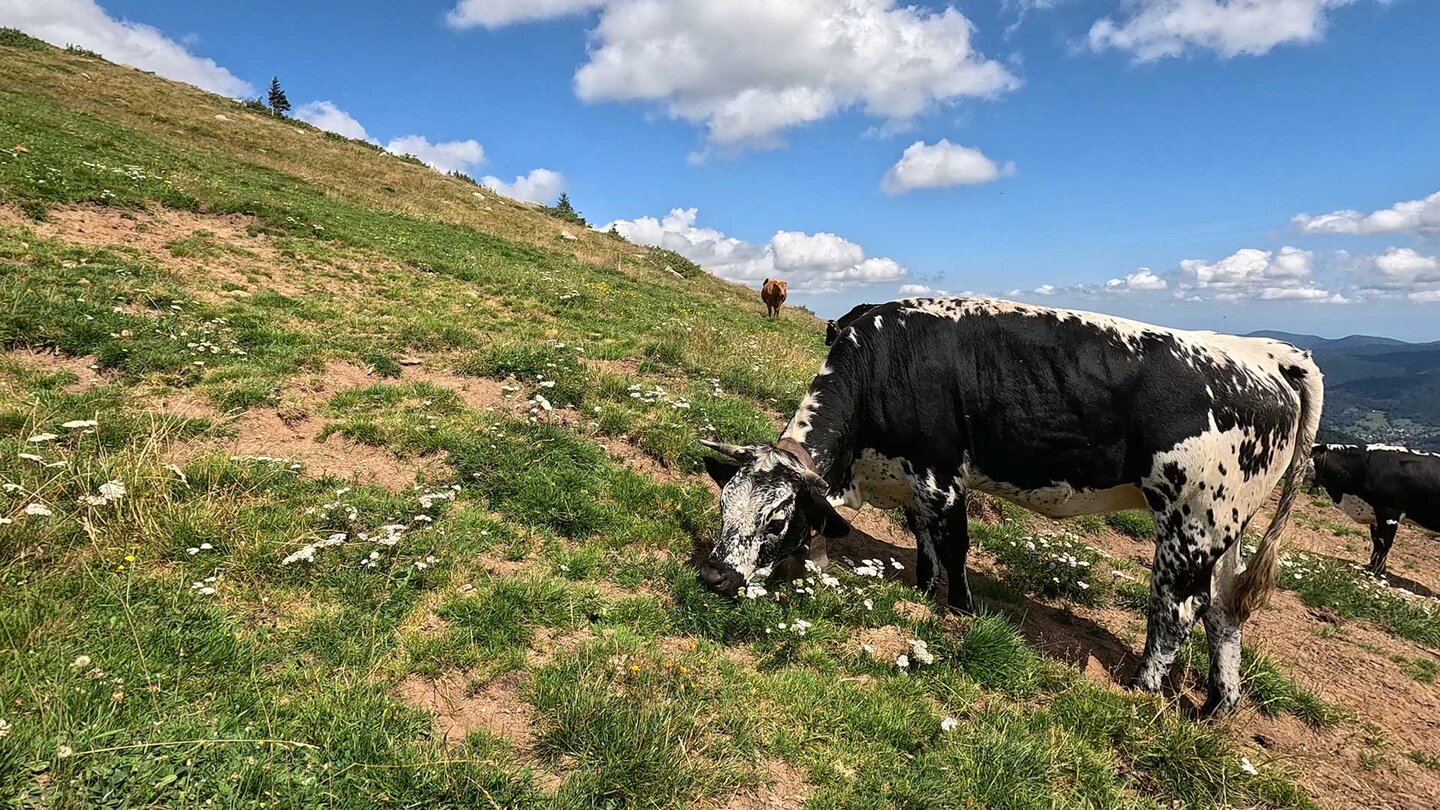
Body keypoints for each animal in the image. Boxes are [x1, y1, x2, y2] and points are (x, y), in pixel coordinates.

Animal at [702, 296, 1319, 711]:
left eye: (777, 519)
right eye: (723, 505)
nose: (715, 576)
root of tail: (1265, 352)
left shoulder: (941, 476)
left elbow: (954, 547)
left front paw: (960, 610)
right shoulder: (911, 482)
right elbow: (925, 543)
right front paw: (919, 592)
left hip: (1191, 523)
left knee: (1178, 612)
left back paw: (1139, 692)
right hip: (1225, 528)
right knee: (1224, 611)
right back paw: (1217, 706)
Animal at [1307, 441, 1440, 573]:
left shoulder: (1389, 512)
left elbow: (1383, 543)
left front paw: (1377, 573)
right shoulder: (1374, 514)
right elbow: (1376, 541)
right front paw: (1371, 567)